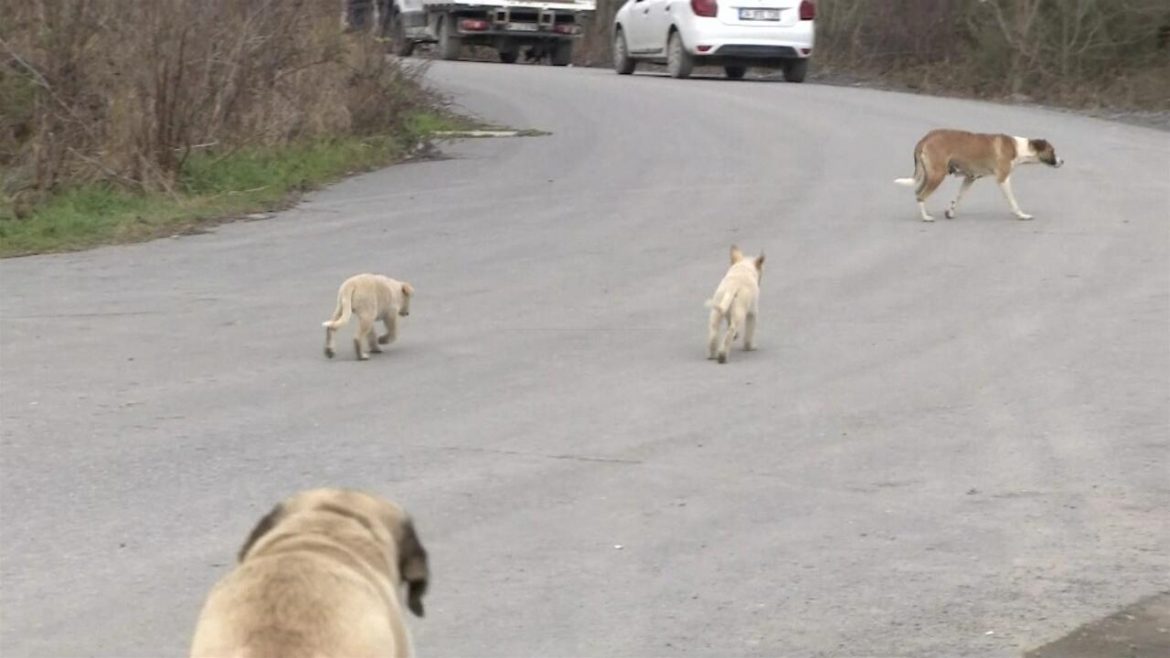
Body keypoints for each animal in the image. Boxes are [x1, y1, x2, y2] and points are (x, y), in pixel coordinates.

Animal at [893, 128, 1062, 220]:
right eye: (1052, 151)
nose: (1062, 161)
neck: (1018, 148)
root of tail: (925, 138)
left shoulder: (970, 178)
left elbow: (958, 197)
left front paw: (950, 212)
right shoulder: (1003, 179)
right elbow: (1013, 201)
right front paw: (1022, 215)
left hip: (930, 174)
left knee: (918, 192)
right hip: (937, 175)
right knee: (920, 195)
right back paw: (926, 217)